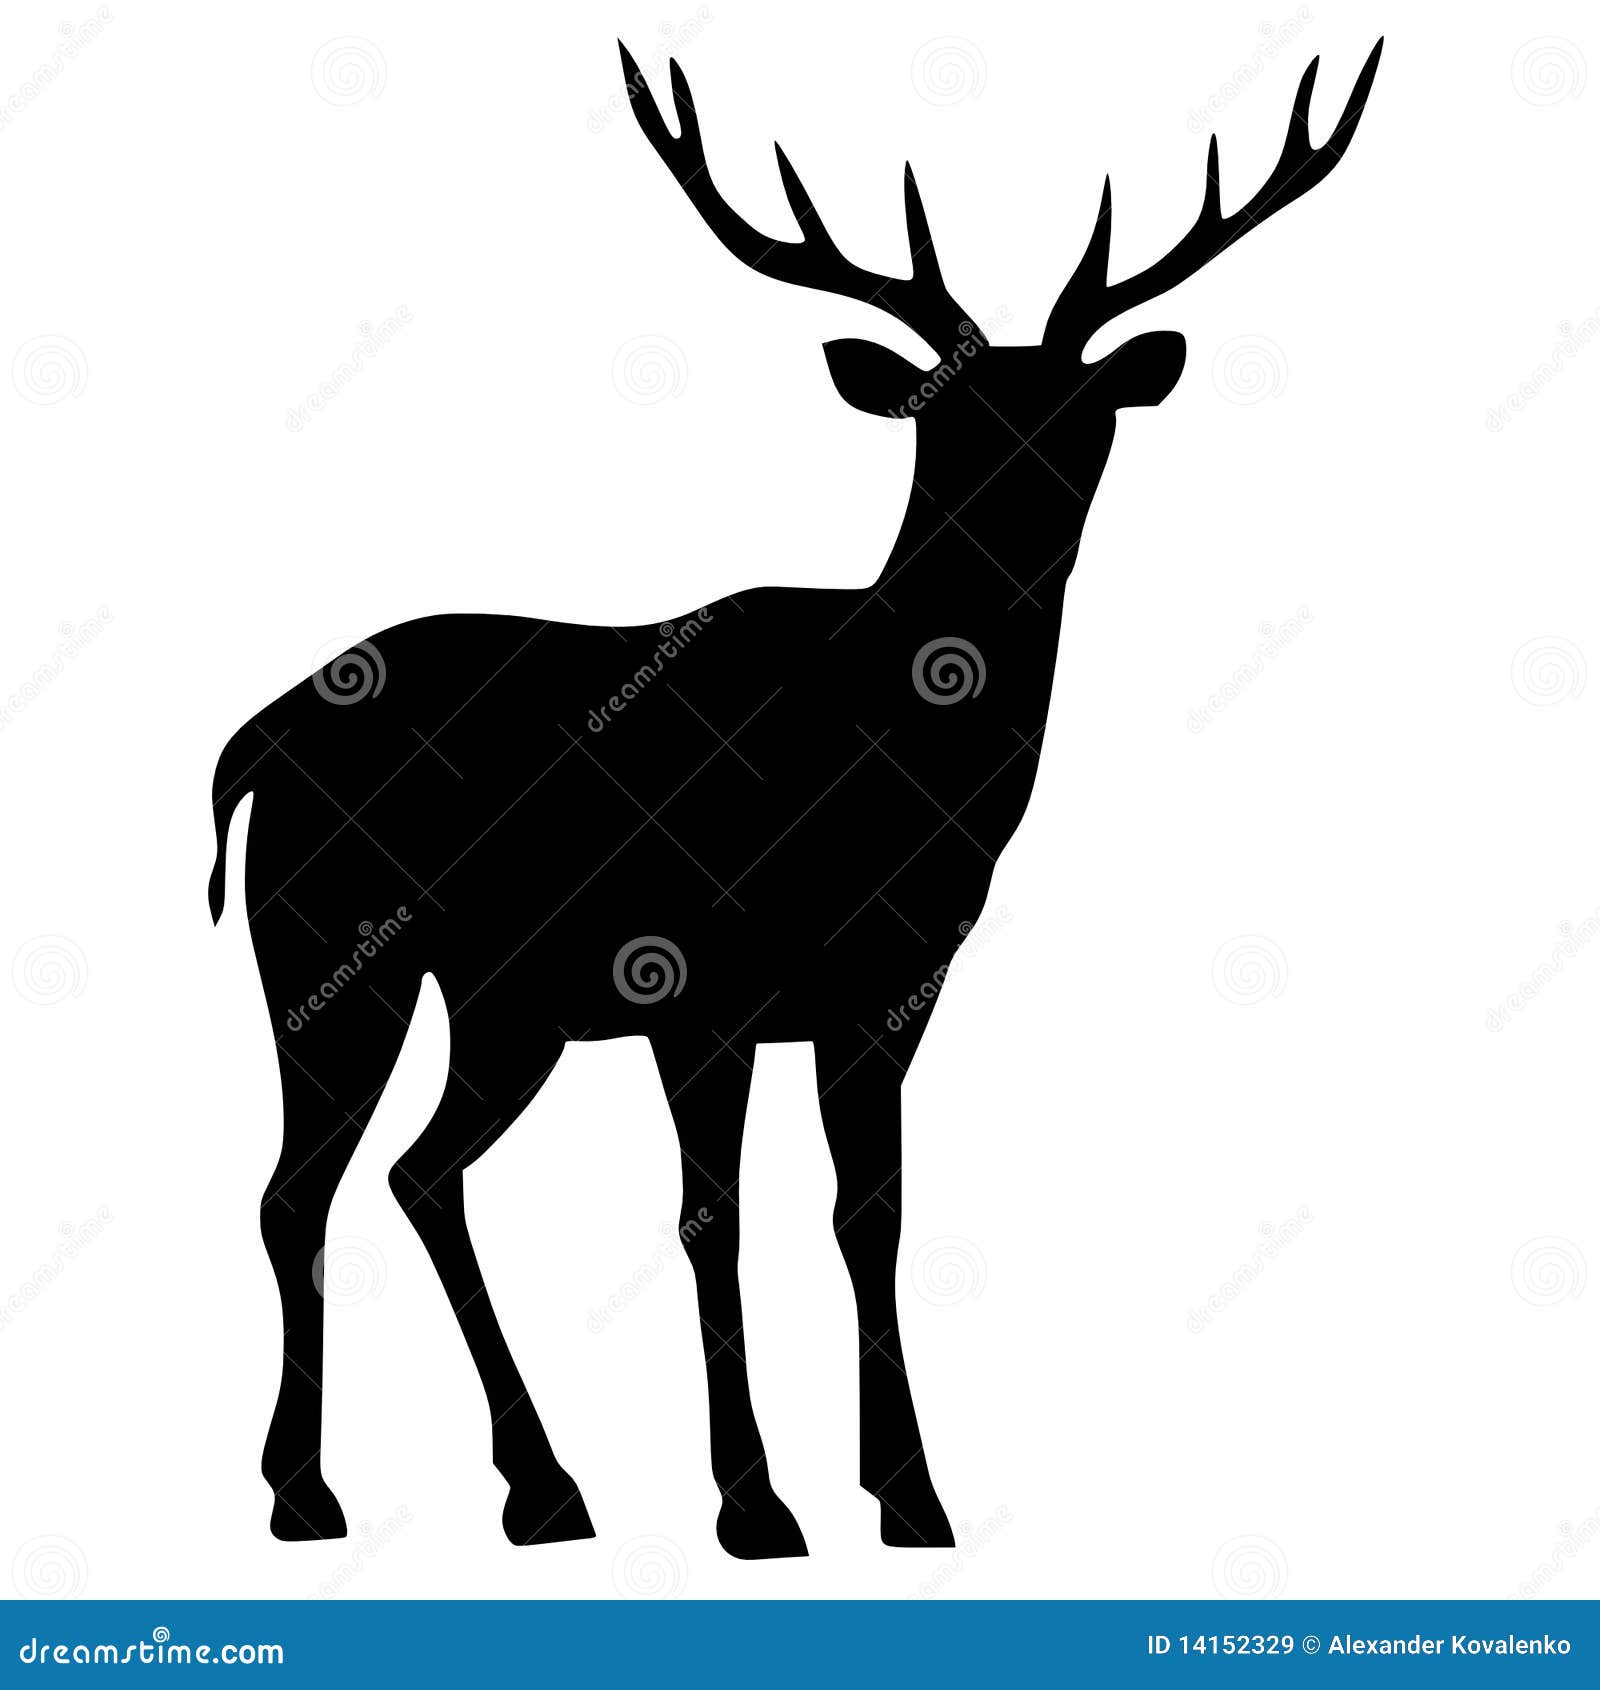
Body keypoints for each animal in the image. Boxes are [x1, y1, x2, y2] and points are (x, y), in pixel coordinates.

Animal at [208, 38, 1382, 1560]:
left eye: (1084, 420)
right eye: (942, 420)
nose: (1017, 534)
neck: (879, 775)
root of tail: (256, 735)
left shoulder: (889, 988)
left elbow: (868, 1216)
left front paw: (912, 1494)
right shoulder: (692, 978)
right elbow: (712, 1216)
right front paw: (755, 1502)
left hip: (505, 1003)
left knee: (419, 1172)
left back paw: (543, 1486)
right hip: (327, 945)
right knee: (297, 1189)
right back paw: (307, 1493)